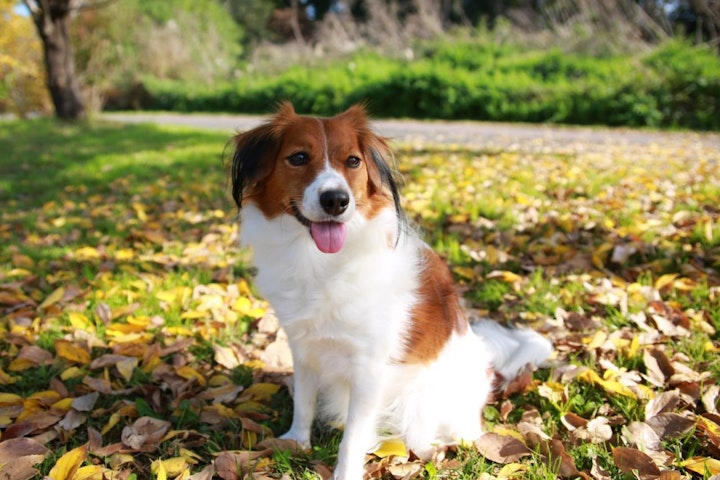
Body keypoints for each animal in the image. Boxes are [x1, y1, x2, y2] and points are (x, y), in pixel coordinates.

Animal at [231, 104, 552, 480]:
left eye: (353, 161)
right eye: (298, 158)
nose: (336, 200)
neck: (320, 259)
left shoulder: (369, 368)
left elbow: (353, 438)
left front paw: (345, 474)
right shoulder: (304, 347)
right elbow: (304, 403)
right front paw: (296, 441)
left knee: (450, 435)